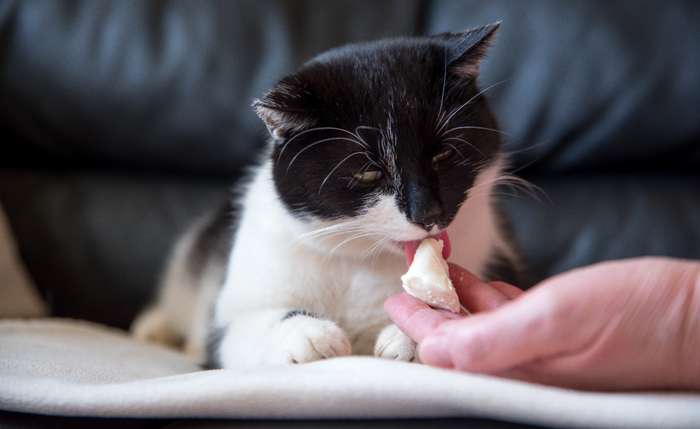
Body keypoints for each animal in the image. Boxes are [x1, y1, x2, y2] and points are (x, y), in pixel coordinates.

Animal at [134, 23, 524, 370]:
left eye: (443, 154)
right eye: (368, 172)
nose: (428, 213)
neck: (362, 260)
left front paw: (409, 334)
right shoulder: (234, 311)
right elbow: (245, 326)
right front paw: (308, 335)